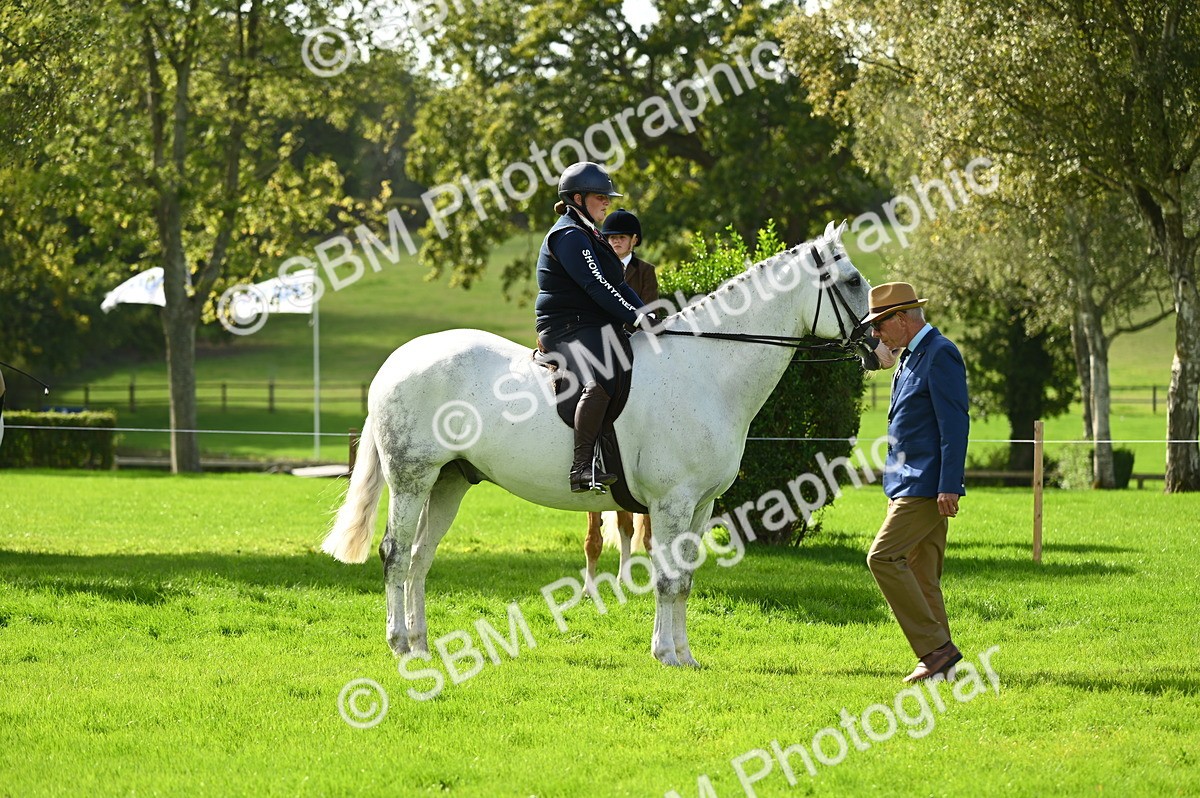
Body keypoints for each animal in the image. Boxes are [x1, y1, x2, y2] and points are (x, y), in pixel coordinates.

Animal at [321, 221, 876, 667]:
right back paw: (398, 644)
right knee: (395, 554)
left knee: (419, 557)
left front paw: (686, 655)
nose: (878, 346)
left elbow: (686, 579)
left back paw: (420, 643)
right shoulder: (672, 503)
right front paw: (666, 654)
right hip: (412, 479)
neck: (705, 368)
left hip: (449, 483)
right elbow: (668, 579)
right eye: (852, 281)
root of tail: (396, 361)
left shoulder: (700, 506)